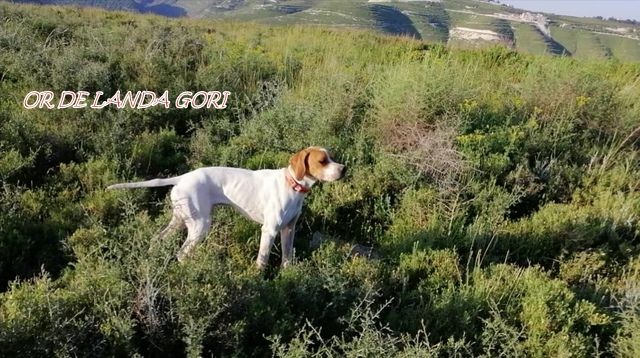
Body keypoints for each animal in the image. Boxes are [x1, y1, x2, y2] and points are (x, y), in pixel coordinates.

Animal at [106, 147, 344, 268]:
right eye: (323, 161)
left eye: (332, 157)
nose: (344, 169)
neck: (292, 184)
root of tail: (182, 177)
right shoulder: (269, 231)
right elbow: (262, 260)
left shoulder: (288, 229)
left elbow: (287, 258)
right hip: (200, 225)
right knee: (182, 254)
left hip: (180, 220)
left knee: (157, 239)